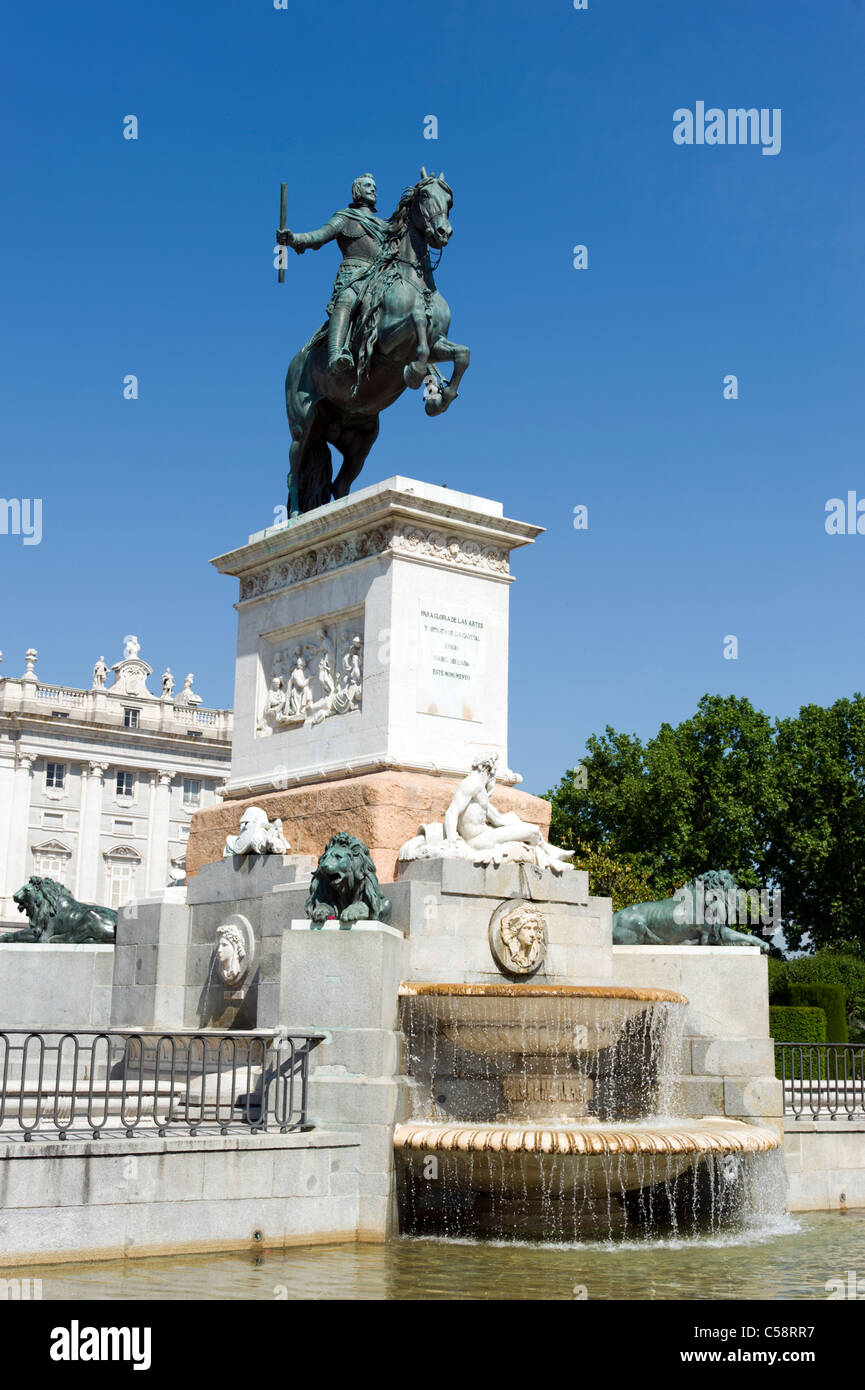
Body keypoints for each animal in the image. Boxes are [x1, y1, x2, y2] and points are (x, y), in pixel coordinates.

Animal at [286, 173, 470, 519]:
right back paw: (291, 516)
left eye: (450, 201)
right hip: (303, 426)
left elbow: (462, 354)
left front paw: (441, 398)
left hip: (361, 439)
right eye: (425, 196)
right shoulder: (386, 341)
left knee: (339, 485)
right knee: (294, 469)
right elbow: (417, 325)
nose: (443, 232)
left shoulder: (440, 342)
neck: (416, 282)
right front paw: (416, 373)